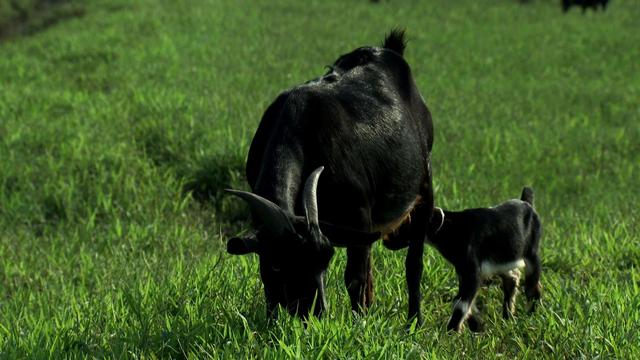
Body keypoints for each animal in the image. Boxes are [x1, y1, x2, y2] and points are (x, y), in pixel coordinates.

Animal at [226, 30, 436, 324]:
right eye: (281, 264)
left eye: (324, 261)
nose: (316, 313)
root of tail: (389, 51)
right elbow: (266, 278)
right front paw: (271, 321)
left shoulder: (359, 215)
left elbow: (355, 279)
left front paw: (360, 325)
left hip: (424, 186)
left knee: (413, 265)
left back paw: (413, 322)